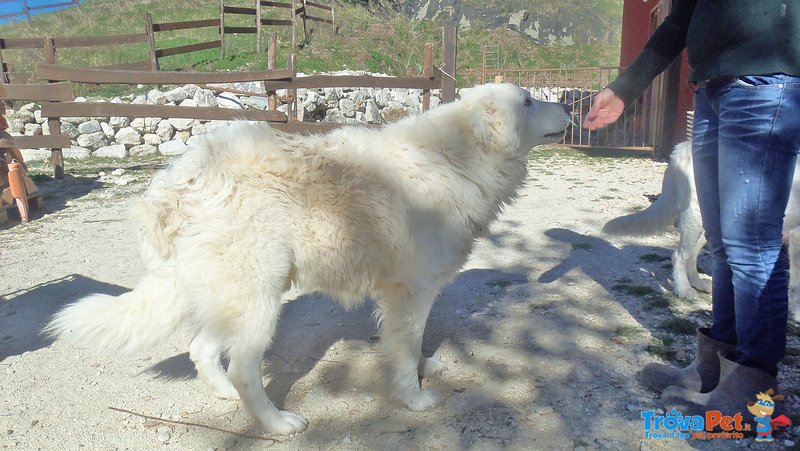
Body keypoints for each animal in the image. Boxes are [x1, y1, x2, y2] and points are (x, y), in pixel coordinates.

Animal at [43, 83, 572, 436]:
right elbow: (405, 349)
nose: (569, 104)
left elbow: (414, 343)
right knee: (243, 368)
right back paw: (276, 423)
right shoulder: (412, 290)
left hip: (233, 291)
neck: (459, 156)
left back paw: (224, 393)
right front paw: (414, 398)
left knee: (202, 349)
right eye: (528, 101)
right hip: (259, 296)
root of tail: (177, 182)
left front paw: (426, 365)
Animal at [604, 141, 796, 322]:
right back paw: (684, 289)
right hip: (697, 216)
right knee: (679, 255)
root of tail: (682, 148)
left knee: (691, 255)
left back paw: (696, 283)